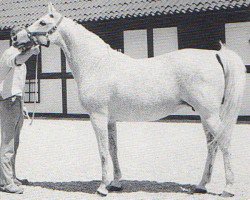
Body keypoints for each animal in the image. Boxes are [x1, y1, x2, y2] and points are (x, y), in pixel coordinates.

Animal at [15, 3, 246, 197]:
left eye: (42, 22)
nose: (16, 37)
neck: (96, 64)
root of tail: (215, 55)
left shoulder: (98, 117)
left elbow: (102, 151)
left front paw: (102, 187)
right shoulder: (110, 119)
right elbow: (113, 149)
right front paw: (116, 183)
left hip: (209, 114)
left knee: (224, 142)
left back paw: (228, 188)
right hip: (205, 115)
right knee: (212, 146)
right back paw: (201, 185)